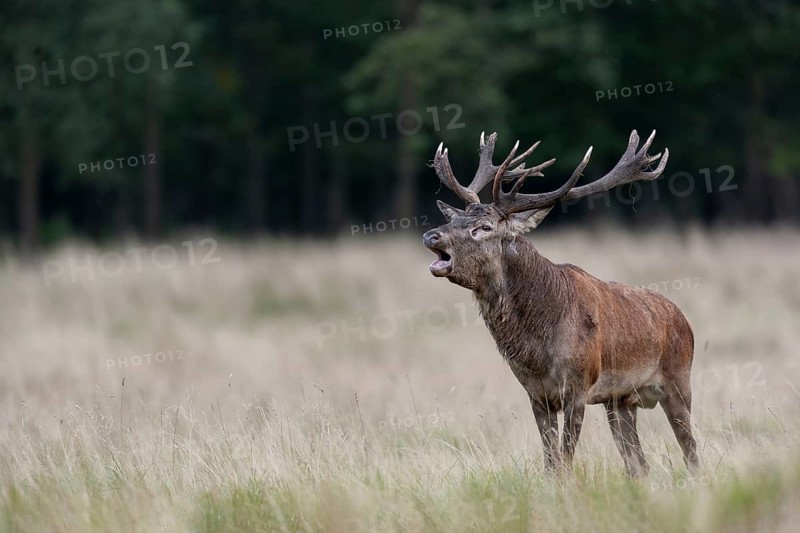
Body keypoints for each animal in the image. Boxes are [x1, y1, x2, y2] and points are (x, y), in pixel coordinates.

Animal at [422, 130, 698, 477]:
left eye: (484, 227)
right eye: (456, 218)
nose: (432, 236)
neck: (536, 349)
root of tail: (683, 319)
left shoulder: (577, 387)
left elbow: (565, 461)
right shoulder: (536, 393)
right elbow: (551, 464)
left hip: (679, 382)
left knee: (691, 452)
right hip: (621, 400)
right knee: (639, 465)